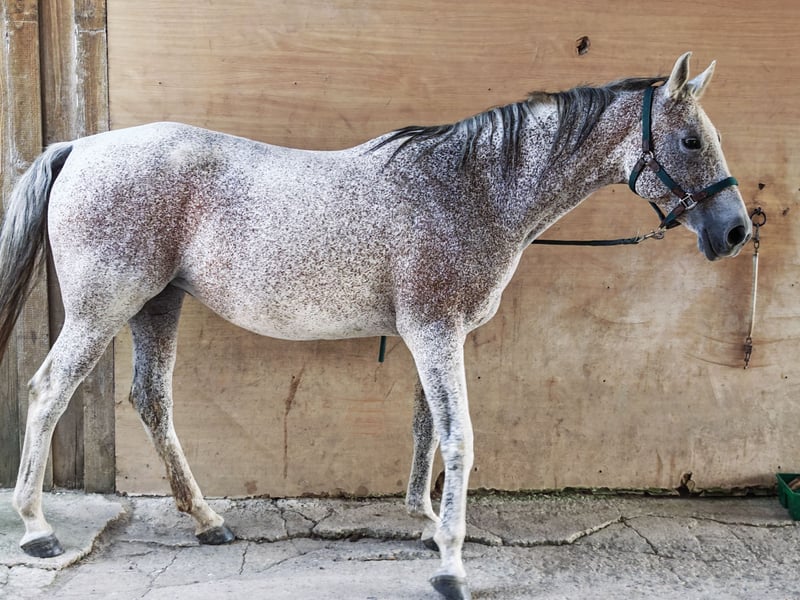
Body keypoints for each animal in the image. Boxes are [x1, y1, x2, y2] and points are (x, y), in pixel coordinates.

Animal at [0, 52, 750, 600]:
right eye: (690, 140)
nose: (737, 232)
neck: (469, 189)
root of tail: (79, 147)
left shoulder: (434, 336)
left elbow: (426, 429)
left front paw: (425, 522)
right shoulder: (435, 333)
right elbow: (459, 438)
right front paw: (450, 566)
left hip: (158, 304)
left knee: (152, 400)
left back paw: (209, 521)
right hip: (104, 308)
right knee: (47, 392)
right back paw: (37, 529)